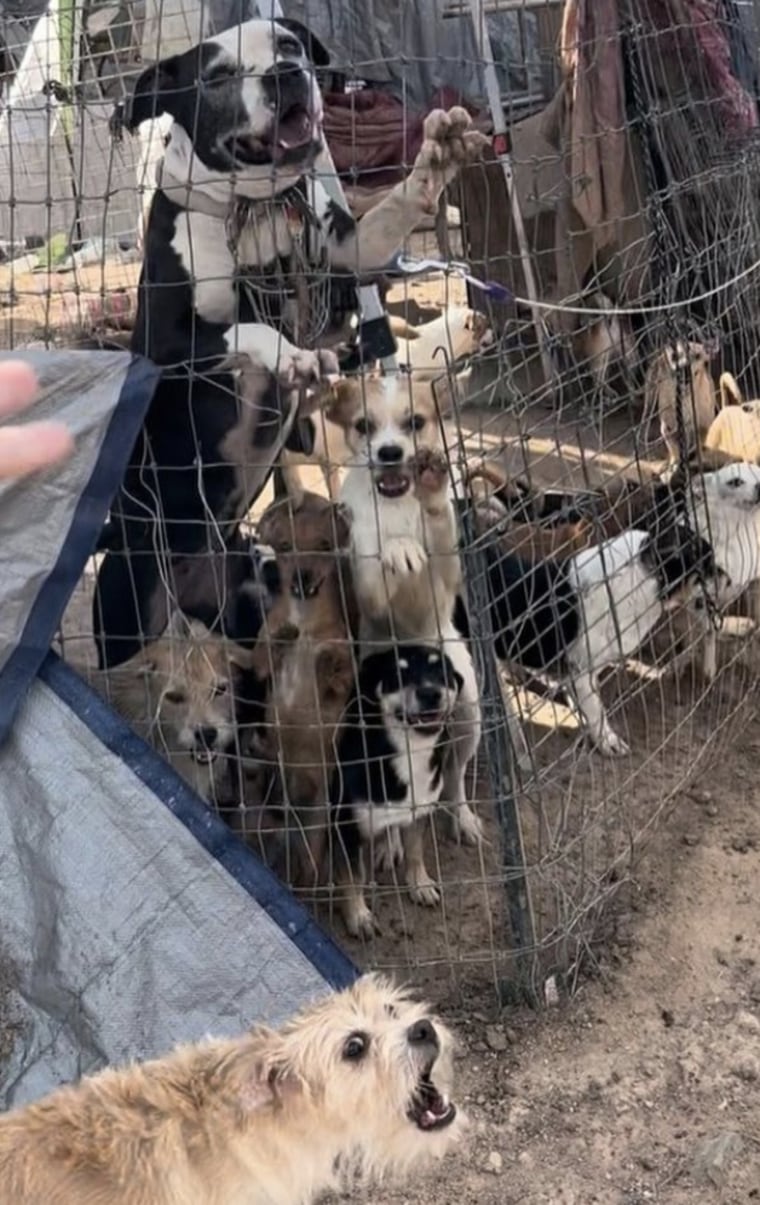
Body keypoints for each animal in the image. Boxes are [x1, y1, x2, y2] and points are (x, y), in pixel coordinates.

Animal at [93, 16, 486, 669]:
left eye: (289, 45)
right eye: (217, 76)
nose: (286, 74)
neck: (258, 207)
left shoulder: (350, 256)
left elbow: (386, 219)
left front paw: (432, 166)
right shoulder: (166, 346)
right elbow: (249, 328)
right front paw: (294, 355)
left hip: (249, 591)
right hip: (120, 609)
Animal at [332, 650, 464, 939]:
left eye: (443, 673)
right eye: (398, 674)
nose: (430, 693)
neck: (411, 752)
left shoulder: (419, 809)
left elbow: (415, 850)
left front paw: (419, 884)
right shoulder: (346, 826)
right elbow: (351, 876)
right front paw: (358, 917)